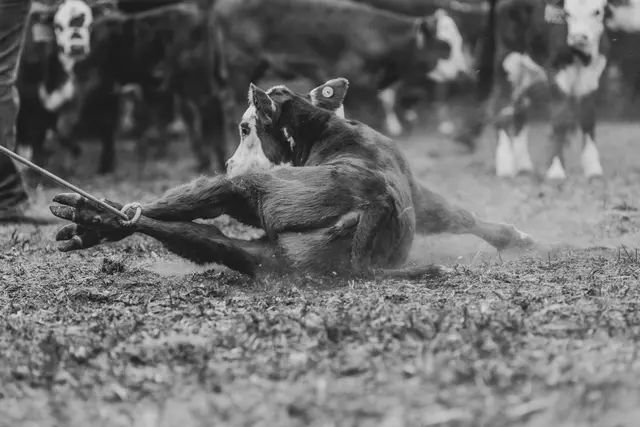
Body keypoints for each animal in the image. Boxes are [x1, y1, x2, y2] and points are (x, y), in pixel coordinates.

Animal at [49, 78, 535, 279]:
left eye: (246, 127)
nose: (228, 161)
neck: (329, 130)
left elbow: (458, 215)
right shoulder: (417, 189)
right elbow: (457, 214)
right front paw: (515, 237)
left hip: (249, 203)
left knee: (165, 216)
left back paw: (93, 214)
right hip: (258, 243)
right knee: (179, 229)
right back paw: (91, 217)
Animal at [209, 0, 472, 152]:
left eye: (460, 43)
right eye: (444, 46)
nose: (463, 72)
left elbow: (387, 97)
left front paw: (396, 123)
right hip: (240, 64)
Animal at [480, 0, 616, 180]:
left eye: (597, 11)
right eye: (567, 13)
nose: (578, 37)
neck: (580, 57)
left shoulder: (591, 81)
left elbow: (588, 121)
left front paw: (594, 170)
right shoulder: (557, 77)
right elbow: (561, 120)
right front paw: (556, 170)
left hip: (529, 75)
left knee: (520, 111)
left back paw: (524, 166)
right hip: (507, 64)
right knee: (502, 108)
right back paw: (505, 167)